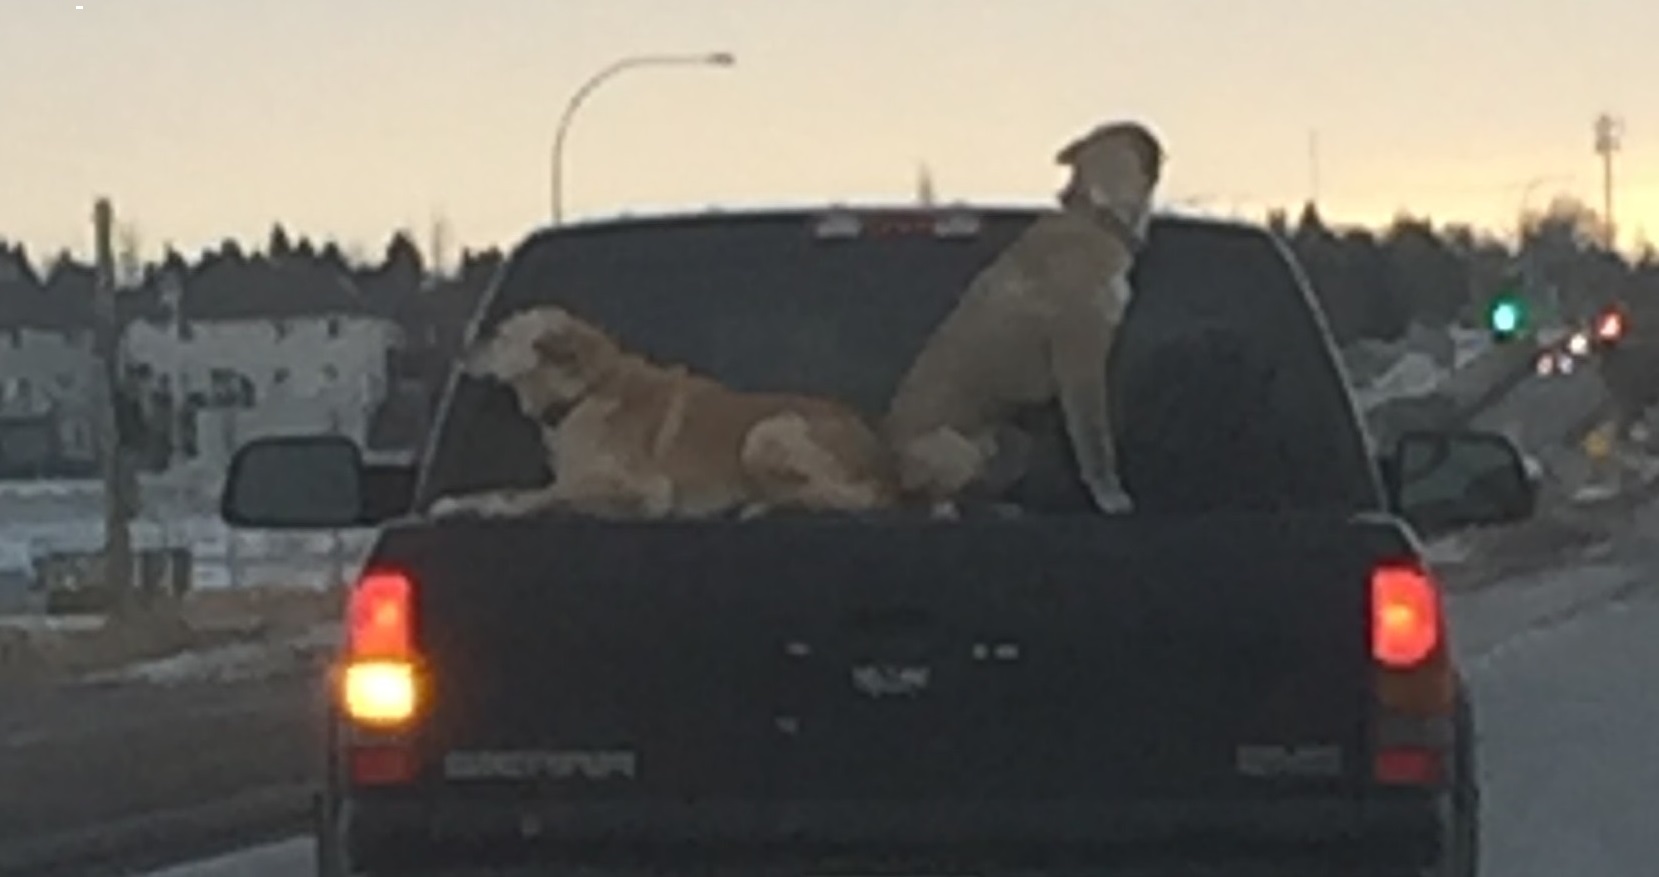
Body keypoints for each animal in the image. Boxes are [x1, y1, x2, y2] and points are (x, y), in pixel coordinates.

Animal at [428, 305, 895, 517]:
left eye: (502, 336)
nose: (462, 349)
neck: (583, 394)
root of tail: (876, 445)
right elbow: (508, 490)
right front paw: (455, 502)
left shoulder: (646, 487)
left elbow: (541, 495)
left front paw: (499, 507)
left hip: (766, 433)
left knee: (856, 497)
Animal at [882, 116, 1167, 513]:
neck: (1096, 216)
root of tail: (891, 468)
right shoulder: (1080, 363)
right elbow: (1094, 442)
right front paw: (1110, 495)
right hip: (954, 449)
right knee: (935, 496)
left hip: (1012, 441)